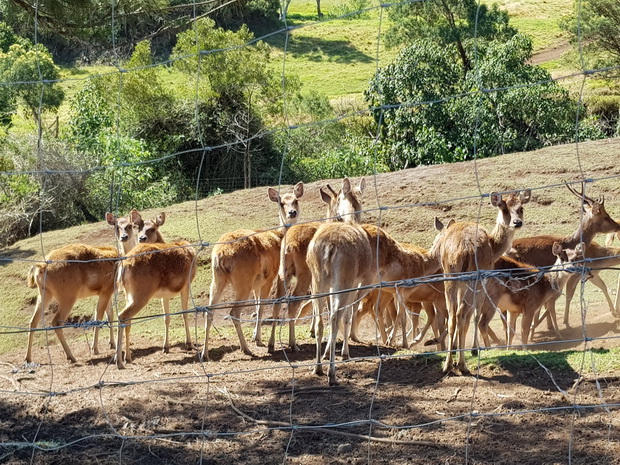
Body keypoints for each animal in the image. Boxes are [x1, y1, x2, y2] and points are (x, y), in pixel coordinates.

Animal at [200, 181, 304, 358]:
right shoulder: (270, 277)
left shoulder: (258, 282)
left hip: (217, 278)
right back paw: (246, 349)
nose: (292, 212)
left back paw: (204, 354)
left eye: (296, 200)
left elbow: (256, 306)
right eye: (281, 202)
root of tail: (220, 254)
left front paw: (257, 337)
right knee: (234, 312)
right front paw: (259, 340)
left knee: (209, 311)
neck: (280, 237)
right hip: (243, 280)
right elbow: (261, 307)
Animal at [432, 188, 532, 374]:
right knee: (463, 314)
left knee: (453, 315)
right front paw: (474, 349)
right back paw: (462, 365)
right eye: (504, 209)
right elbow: (476, 314)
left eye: (521, 208)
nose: (517, 222)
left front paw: (457, 349)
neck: (494, 247)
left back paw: (448, 365)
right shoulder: (484, 280)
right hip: (474, 279)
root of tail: (461, 250)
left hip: (450, 277)